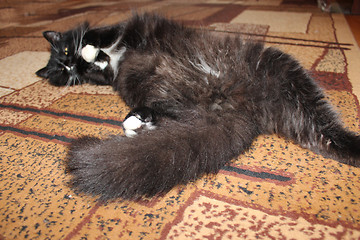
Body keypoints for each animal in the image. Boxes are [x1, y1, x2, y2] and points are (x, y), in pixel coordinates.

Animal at [37, 12, 360, 200]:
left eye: (64, 51)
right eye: (60, 72)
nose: (69, 65)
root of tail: (235, 104)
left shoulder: (125, 27)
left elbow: (99, 33)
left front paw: (89, 48)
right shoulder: (108, 75)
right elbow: (101, 67)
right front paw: (92, 58)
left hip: (283, 71)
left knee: (327, 131)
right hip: (165, 95)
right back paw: (135, 124)